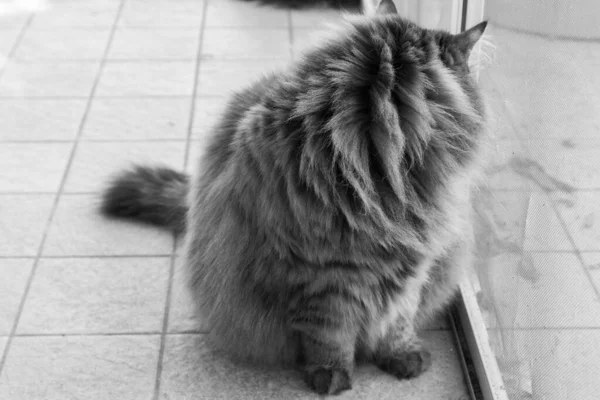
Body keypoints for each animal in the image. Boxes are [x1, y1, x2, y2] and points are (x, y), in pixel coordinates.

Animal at [102, 0, 488, 394]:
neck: (379, 172)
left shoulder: (414, 266)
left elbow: (398, 321)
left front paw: (402, 355)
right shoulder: (319, 277)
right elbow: (330, 334)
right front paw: (331, 375)